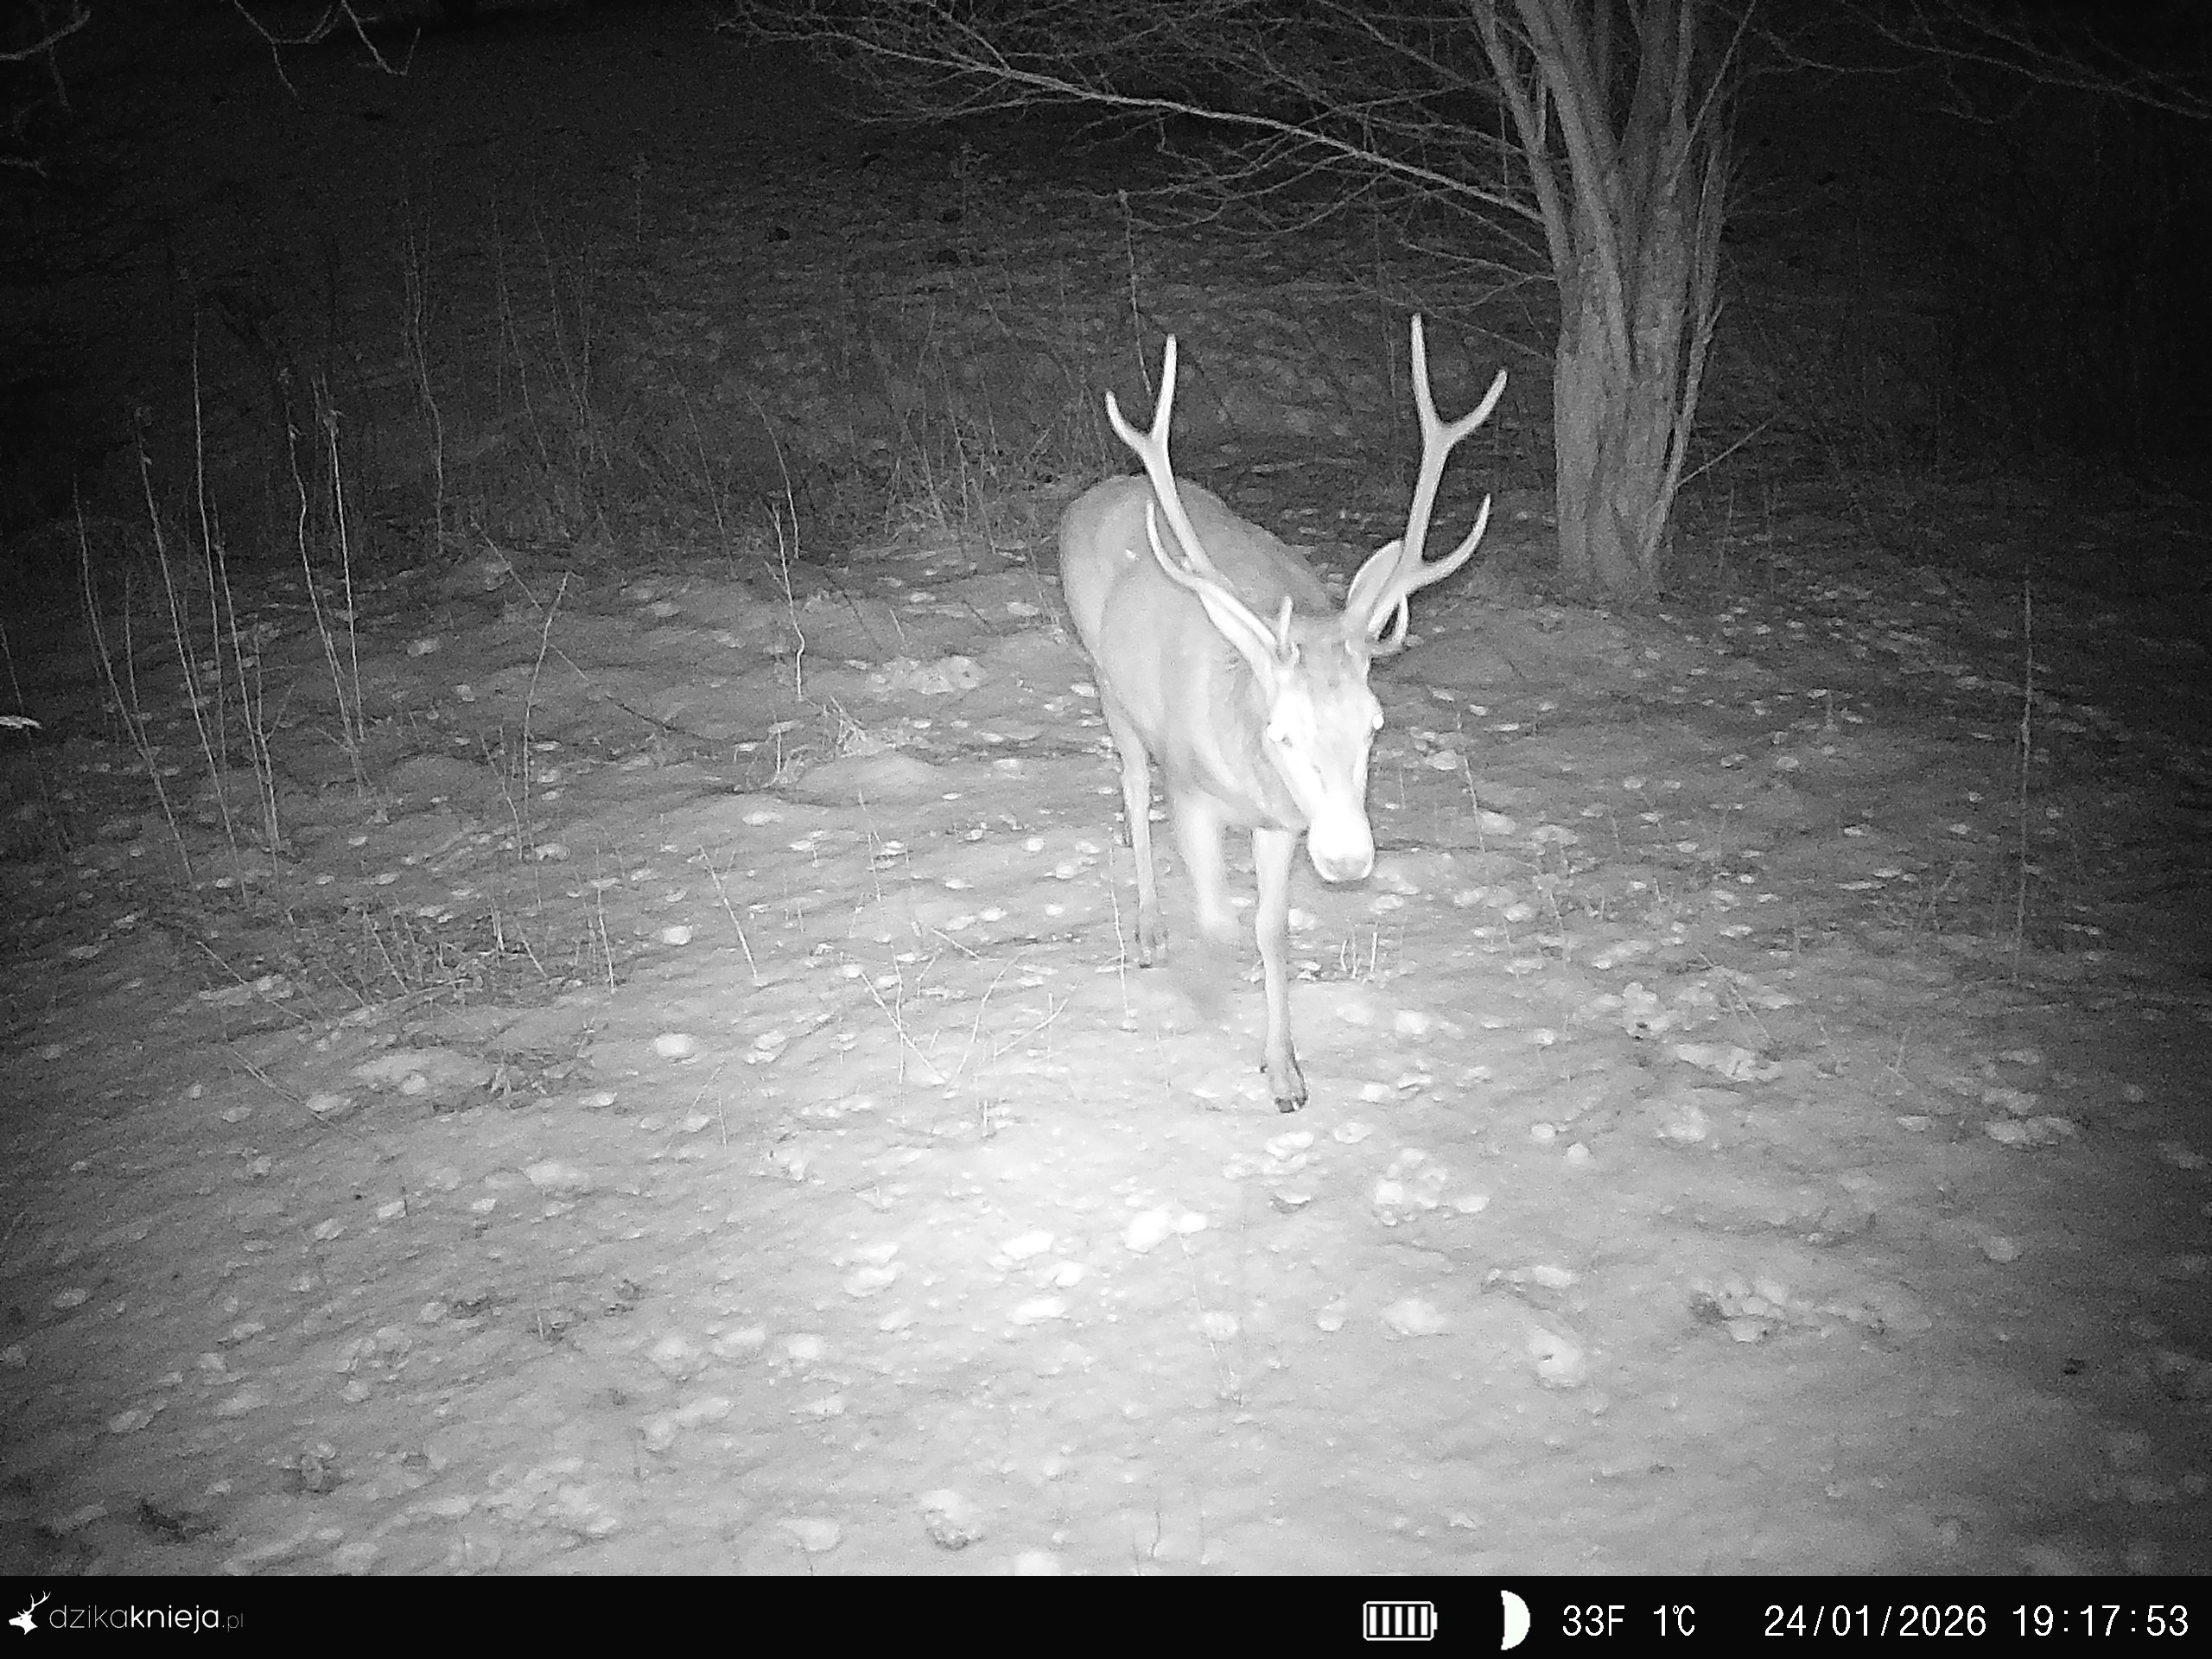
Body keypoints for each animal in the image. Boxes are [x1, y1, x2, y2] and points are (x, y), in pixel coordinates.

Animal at [1058, 316, 1506, 1111]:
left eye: (1374, 724)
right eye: (1283, 732)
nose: (1348, 858)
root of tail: (1095, 495)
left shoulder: (1285, 824)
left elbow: (1271, 931)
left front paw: (1286, 1072)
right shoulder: (1193, 790)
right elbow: (1217, 920)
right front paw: (1206, 998)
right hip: (1109, 684)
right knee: (1133, 792)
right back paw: (1149, 931)